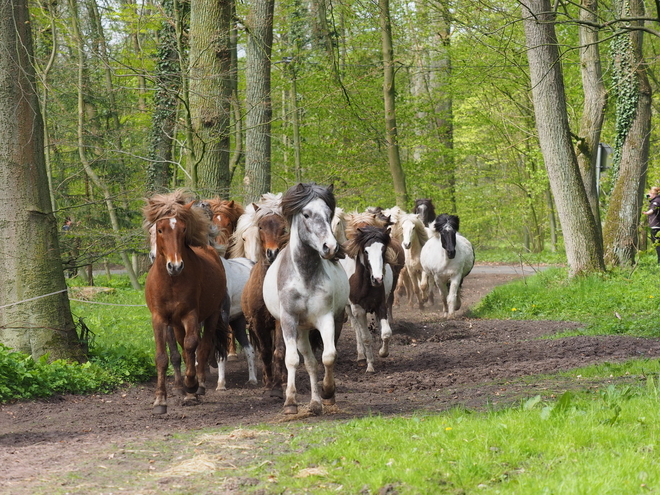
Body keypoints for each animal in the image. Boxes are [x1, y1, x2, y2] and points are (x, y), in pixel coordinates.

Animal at [238, 207, 288, 398]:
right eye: (261, 226)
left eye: (283, 227)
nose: (272, 253)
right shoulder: (257, 322)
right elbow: (265, 352)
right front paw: (268, 383)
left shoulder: (279, 321)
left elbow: (279, 351)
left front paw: (280, 383)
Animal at [262, 182, 350, 414]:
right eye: (306, 214)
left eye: (329, 214)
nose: (330, 247)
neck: (304, 276)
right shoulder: (288, 321)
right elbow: (292, 360)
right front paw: (290, 402)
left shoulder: (326, 318)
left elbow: (329, 356)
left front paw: (328, 391)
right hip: (301, 330)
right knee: (309, 362)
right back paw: (314, 402)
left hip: (334, 321)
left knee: (317, 360)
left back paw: (319, 401)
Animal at [340, 225, 398, 372]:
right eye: (366, 251)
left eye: (383, 250)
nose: (377, 279)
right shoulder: (358, 310)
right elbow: (366, 337)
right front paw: (370, 365)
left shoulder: (381, 306)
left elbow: (386, 333)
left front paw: (383, 352)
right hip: (349, 309)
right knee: (357, 330)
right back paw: (361, 355)